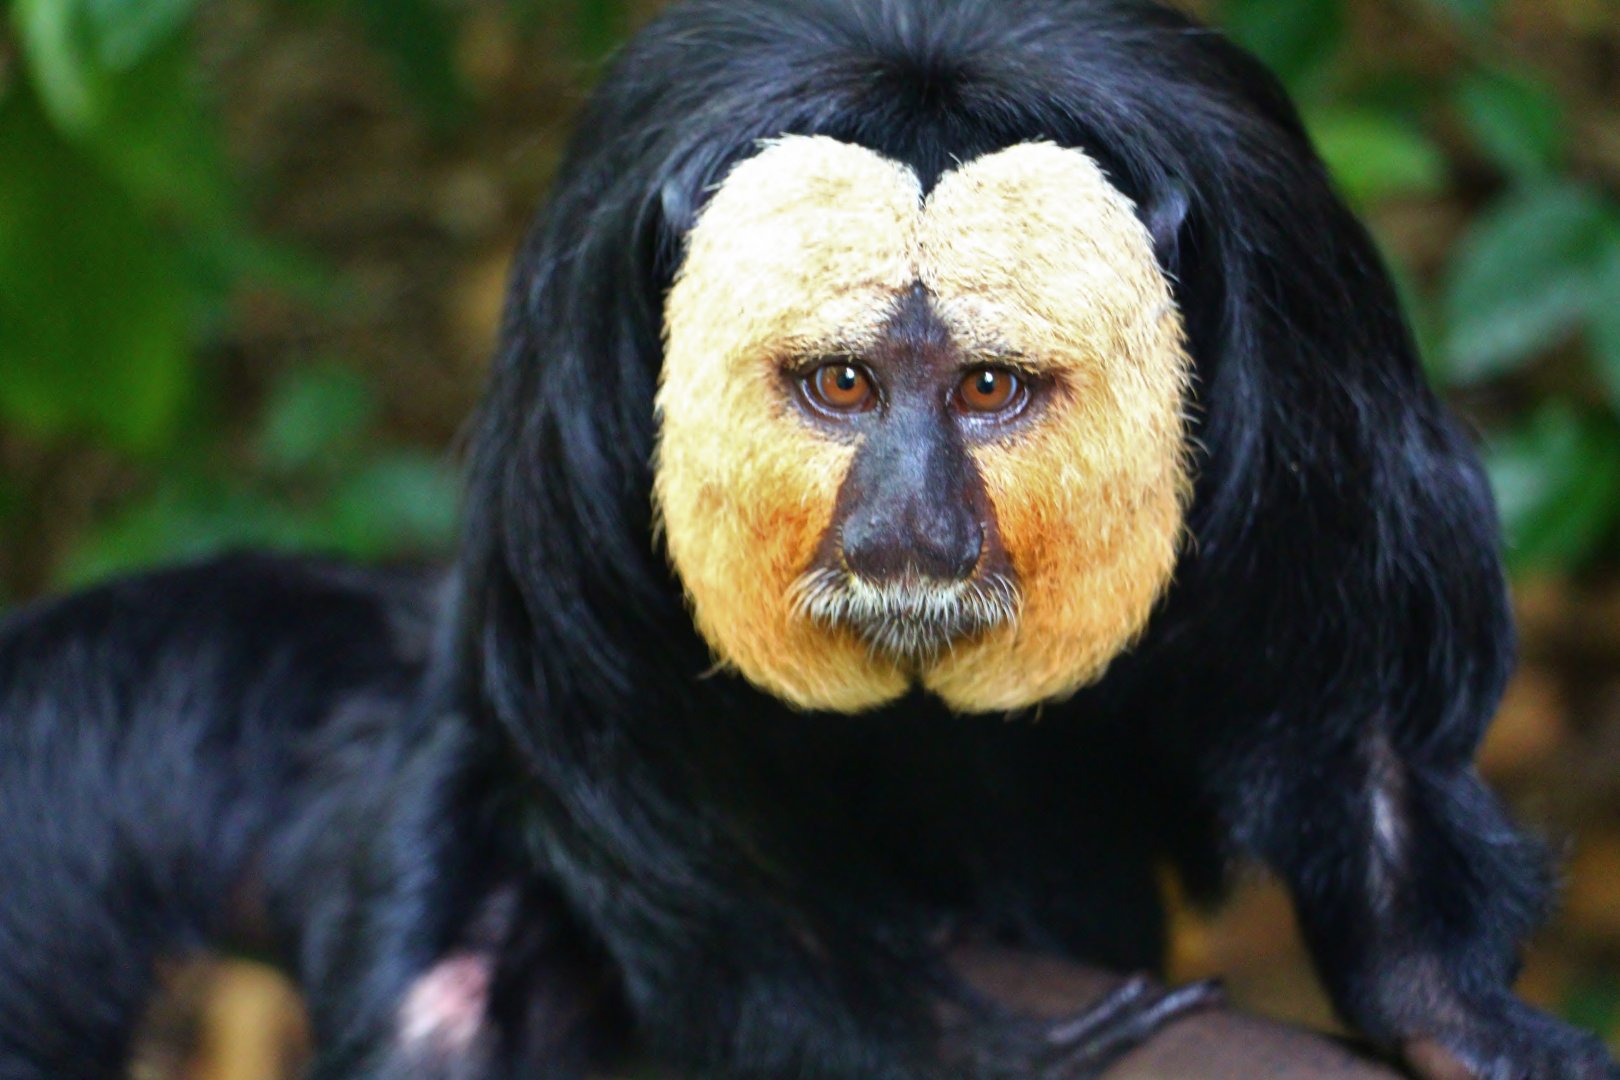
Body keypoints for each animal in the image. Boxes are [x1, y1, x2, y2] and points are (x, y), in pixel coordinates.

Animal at [0, 0, 1616, 1078]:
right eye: (842, 385)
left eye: (985, 391)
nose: (908, 525)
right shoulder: (589, 350)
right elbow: (658, 813)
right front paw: (964, 1051)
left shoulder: (1296, 297)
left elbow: (1363, 726)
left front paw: (1453, 1020)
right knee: (448, 985)